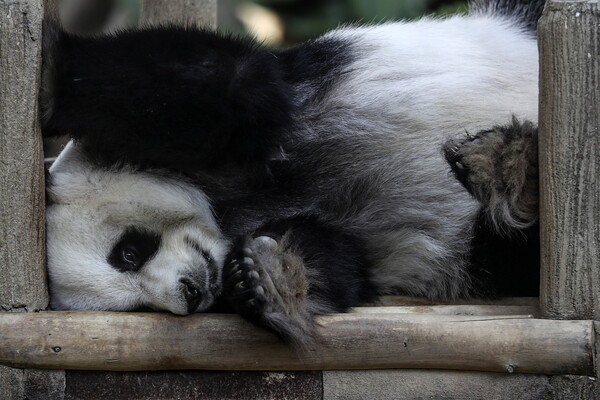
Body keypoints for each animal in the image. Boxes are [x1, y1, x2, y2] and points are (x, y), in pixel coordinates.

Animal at [44, 0, 544, 346]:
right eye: (136, 306)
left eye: (128, 252)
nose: (190, 293)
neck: (226, 213)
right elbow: (340, 263)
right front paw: (265, 282)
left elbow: (233, 85)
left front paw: (54, 71)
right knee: (507, 254)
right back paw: (511, 181)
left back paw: (508, 166)